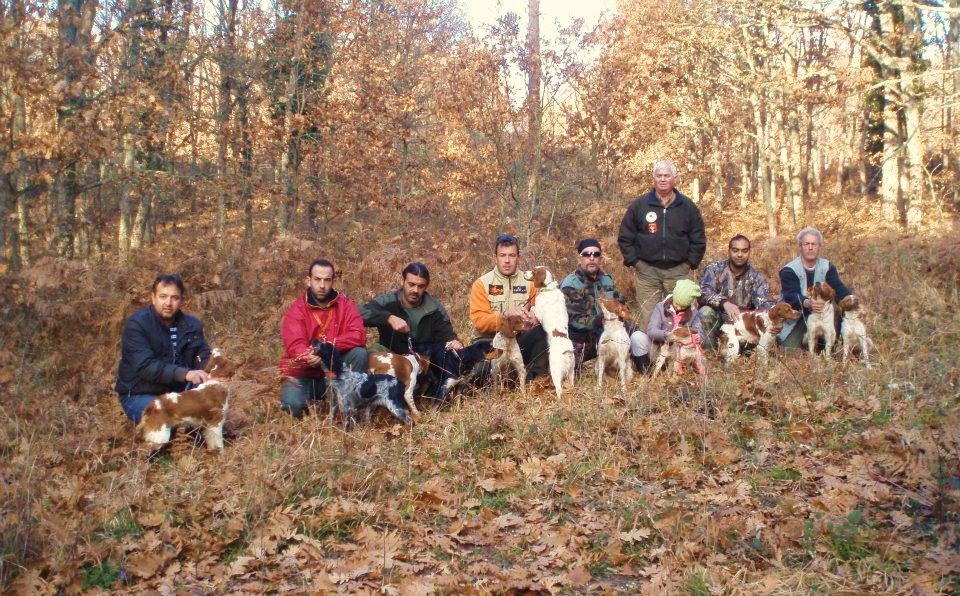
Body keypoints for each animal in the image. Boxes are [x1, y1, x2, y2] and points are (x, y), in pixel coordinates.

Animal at [524, 266, 576, 398]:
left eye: (533, 271)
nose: (524, 272)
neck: (548, 289)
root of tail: (567, 351)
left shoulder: (538, 314)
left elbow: (534, 309)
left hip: (555, 371)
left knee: (559, 389)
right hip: (571, 372)